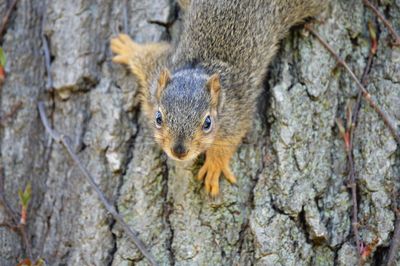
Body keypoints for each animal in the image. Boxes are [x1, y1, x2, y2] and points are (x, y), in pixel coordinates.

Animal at [111, 0, 326, 195]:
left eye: (208, 123)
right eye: (158, 118)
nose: (179, 151)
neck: (201, 69)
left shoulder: (237, 110)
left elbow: (229, 139)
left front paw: (214, 164)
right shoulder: (155, 78)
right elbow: (147, 56)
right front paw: (127, 47)